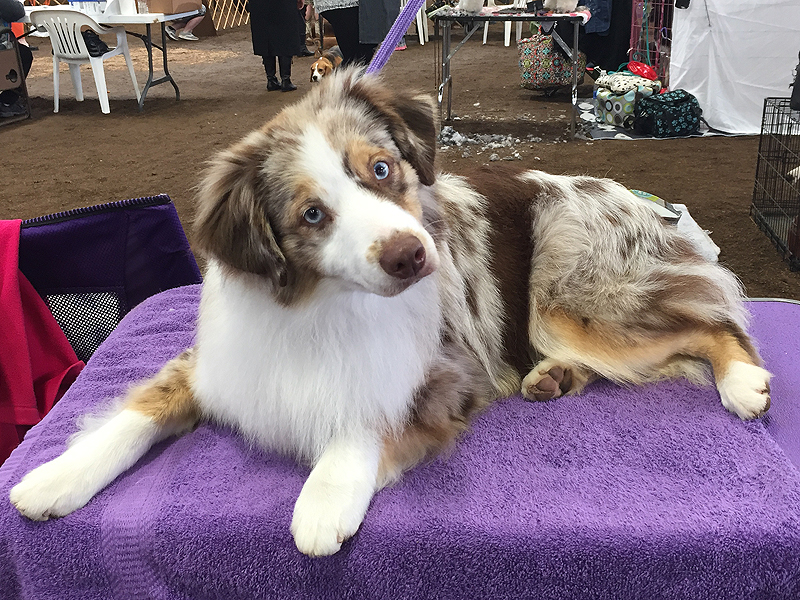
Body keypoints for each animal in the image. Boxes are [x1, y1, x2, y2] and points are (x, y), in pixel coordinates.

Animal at [6, 67, 768, 556]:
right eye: (311, 214)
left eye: (381, 168)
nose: (410, 255)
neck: (322, 306)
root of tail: (640, 202)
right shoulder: (217, 363)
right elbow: (140, 409)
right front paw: (54, 477)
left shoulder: (446, 370)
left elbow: (365, 414)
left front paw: (324, 499)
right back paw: (551, 378)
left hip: (571, 293)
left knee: (713, 322)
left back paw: (743, 382)